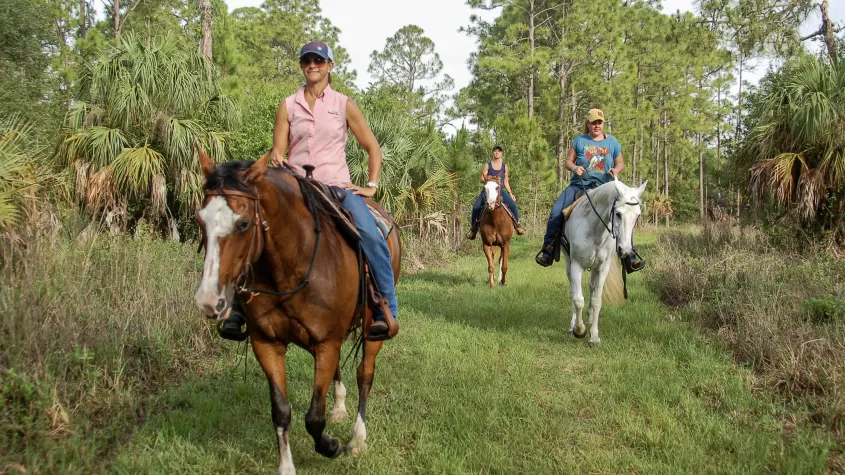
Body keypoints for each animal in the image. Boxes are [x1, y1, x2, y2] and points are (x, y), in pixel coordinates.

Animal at [193, 150, 400, 475]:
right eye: (199, 220)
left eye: (243, 224)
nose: (208, 300)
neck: (292, 264)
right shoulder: (266, 344)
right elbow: (281, 410)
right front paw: (287, 466)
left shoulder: (326, 343)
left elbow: (314, 417)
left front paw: (331, 445)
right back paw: (339, 408)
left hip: (372, 330)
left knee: (365, 374)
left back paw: (356, 438)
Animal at [564, 178, 648, 346]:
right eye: (618, 214)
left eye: (637, 216)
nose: (625, 250)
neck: (594, 229)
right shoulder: (576, 265)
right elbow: (578, 299)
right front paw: (579, 330)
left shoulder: (603, 267)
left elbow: (597, 300)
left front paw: (594, 336)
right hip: (568, 263)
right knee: (572, 292)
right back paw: (572, 326)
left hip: (594, 268)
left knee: (591, 287)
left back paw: (589, 318)